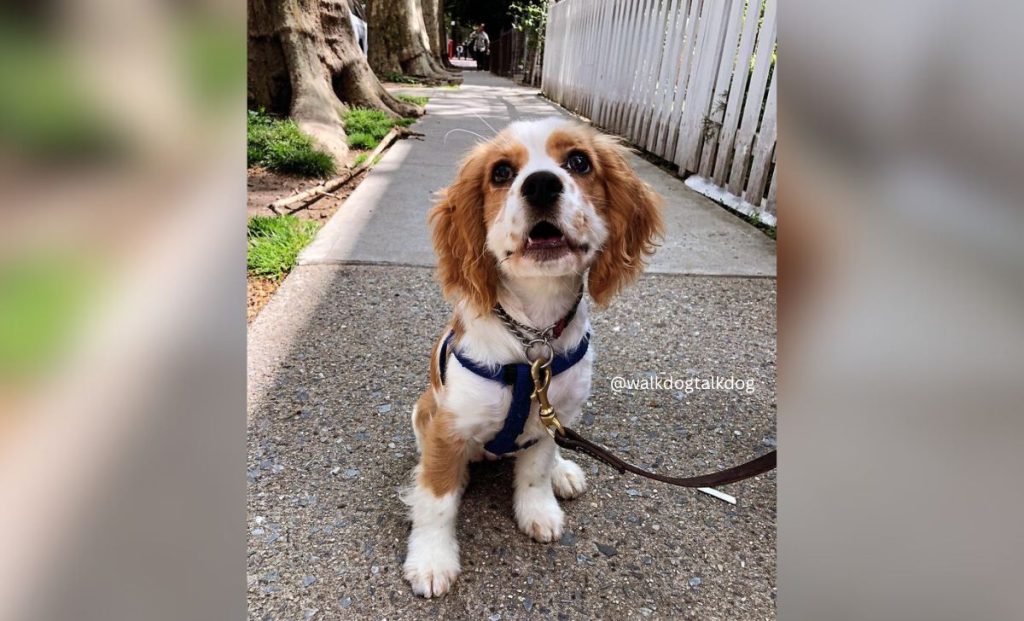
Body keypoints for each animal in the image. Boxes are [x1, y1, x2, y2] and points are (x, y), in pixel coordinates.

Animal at [401, 116, 663, 598]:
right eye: (502, 172)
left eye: (579, 162)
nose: (541, 184)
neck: (532, 336)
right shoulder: (446, 428)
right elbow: (436, 500)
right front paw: (431, 560)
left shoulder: (548, 419)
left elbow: (536, 471)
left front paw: (538, 510)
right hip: (422, 409)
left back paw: (563, 471)